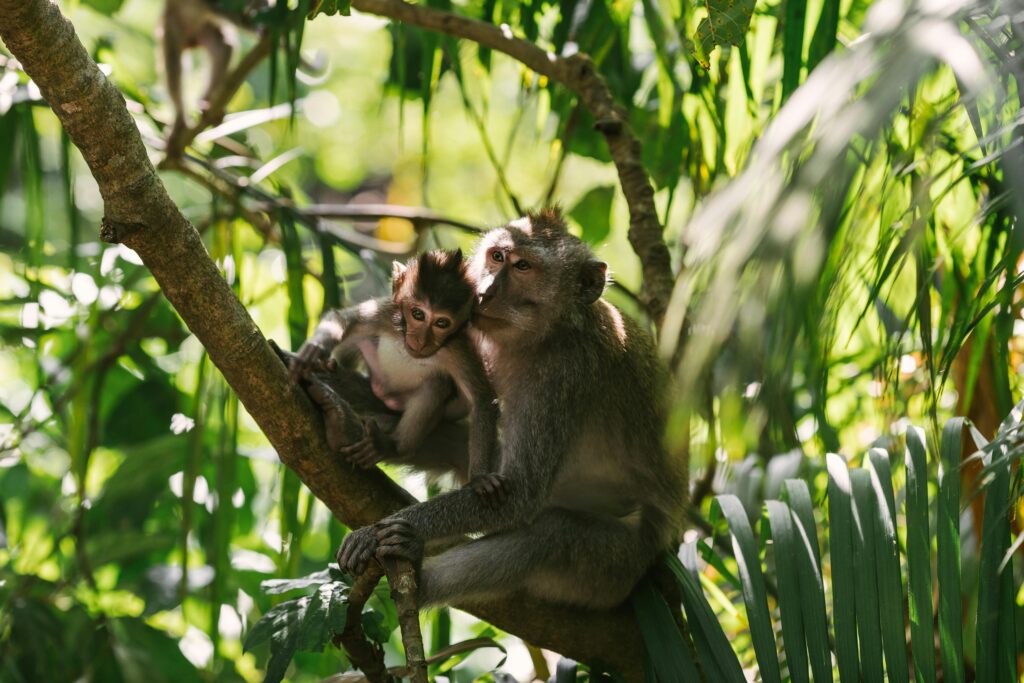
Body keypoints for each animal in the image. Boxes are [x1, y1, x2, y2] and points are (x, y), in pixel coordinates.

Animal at [290, 250, 501, 501]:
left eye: (441, 322)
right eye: (417, 314)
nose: (421, 340)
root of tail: (385, 395)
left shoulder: (457, 348)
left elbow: (481, 399)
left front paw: (479, 477)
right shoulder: (384, 314)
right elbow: (344, 321)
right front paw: (315, 350)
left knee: (437, 385)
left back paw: (390, 446)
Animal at [337, 209, 688, 610]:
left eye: (523, 267)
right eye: (497, 256)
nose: (485, 291)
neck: (549, 333)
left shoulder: (562, 377)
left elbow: (520, 496)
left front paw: (375, 534)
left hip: (614, 567)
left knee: (549, 536)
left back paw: (417, 571)